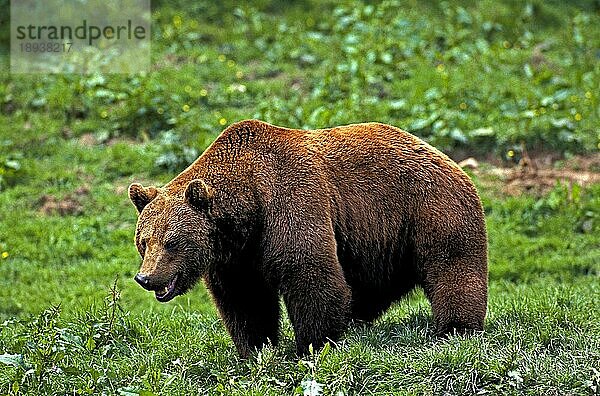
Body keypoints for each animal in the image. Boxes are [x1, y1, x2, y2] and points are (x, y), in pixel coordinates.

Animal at [127, 119, 488, 358]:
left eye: (172, 242)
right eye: (143, 241)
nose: (146, 277)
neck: (248, 206)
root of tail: (450, 160)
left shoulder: (292, 203)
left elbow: (310, 275)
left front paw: (313, 345)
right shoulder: (236, 255)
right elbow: (245, 299)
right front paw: (255, 348)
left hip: (429, 210)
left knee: (453, 268)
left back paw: (456, 328)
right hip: (381, 240)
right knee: (372, 288)